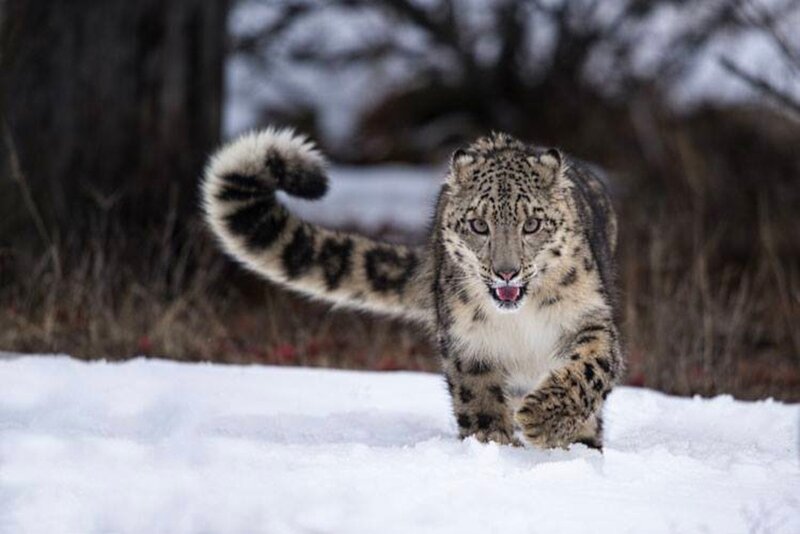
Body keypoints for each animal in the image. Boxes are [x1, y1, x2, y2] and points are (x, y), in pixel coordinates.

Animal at [201, 127, 624, 449]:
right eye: (479, 225)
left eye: (532, 224)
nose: (506, 272)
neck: (519, 324)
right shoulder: (467, 343)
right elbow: (479, 399)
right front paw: (492, 445)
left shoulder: (590, 320)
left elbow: (590, 368)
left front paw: (543, 419)